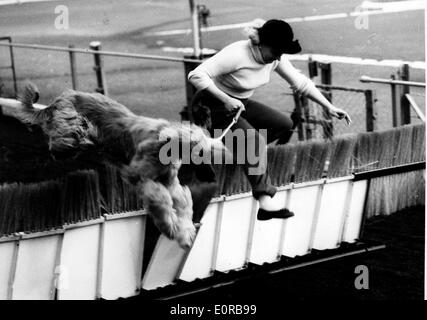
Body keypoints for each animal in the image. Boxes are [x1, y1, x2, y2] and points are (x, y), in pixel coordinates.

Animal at [0, 84, 227, 249]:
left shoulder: (169, 181)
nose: (211, 176)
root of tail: (59, 98)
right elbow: (161, 198)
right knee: (60, 142)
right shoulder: (138, 175)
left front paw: (185, 232)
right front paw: (170, 227)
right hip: (69, 126)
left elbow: (183, 201)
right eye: (200, 153)